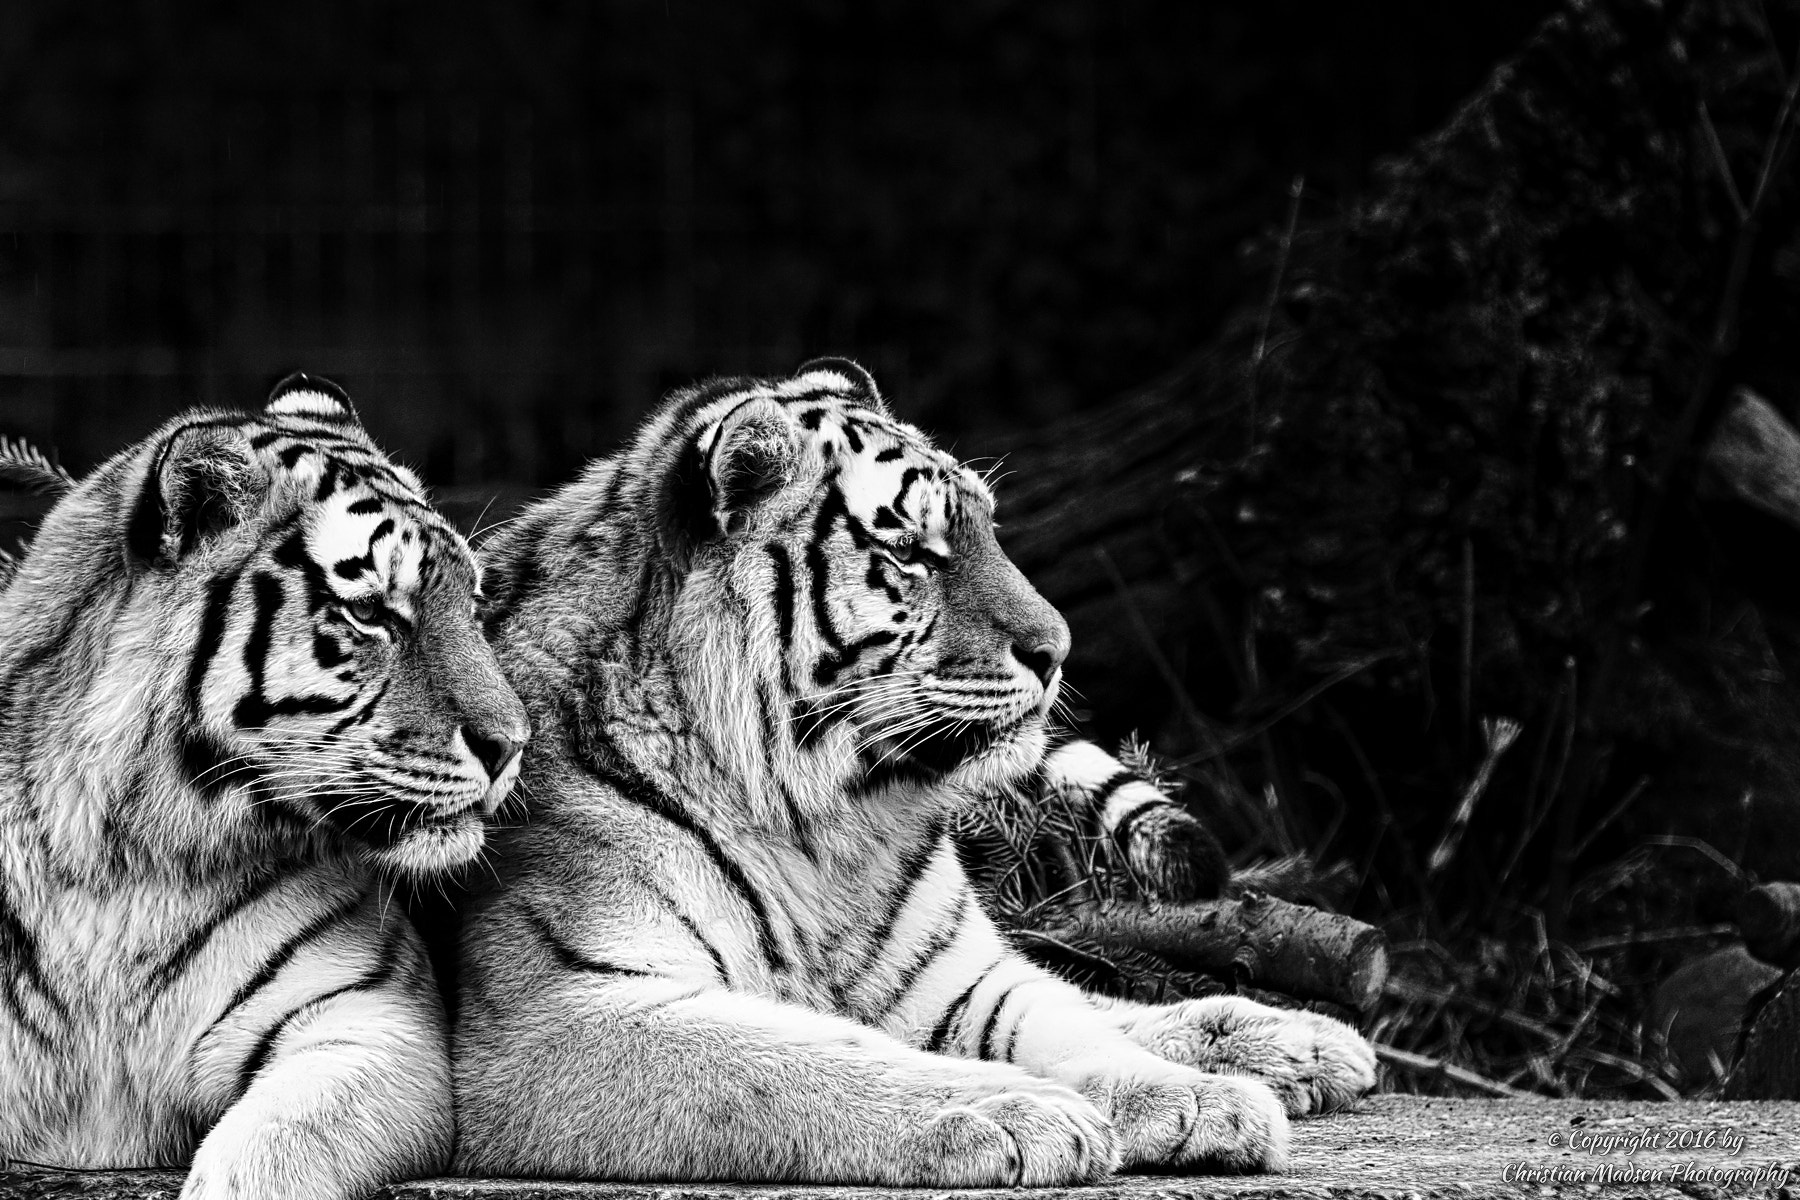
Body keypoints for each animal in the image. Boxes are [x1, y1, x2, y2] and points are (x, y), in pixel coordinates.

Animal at [0, 376, 529, 1200]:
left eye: (472, 605)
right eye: (370, 612)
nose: (512, 746)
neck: (110, 862)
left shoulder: (368, 1022)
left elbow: (263, 1158)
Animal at [453, 359, 1377, 1186]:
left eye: (989, 530)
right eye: (911, 551)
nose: (1057, 650)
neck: (824, 826)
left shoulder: (960, 979)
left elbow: (1066, 1022)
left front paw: (1197, 1100)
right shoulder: (558, 1015)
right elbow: (802, 1055)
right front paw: (1019, 1110)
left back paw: (1303, 1042)